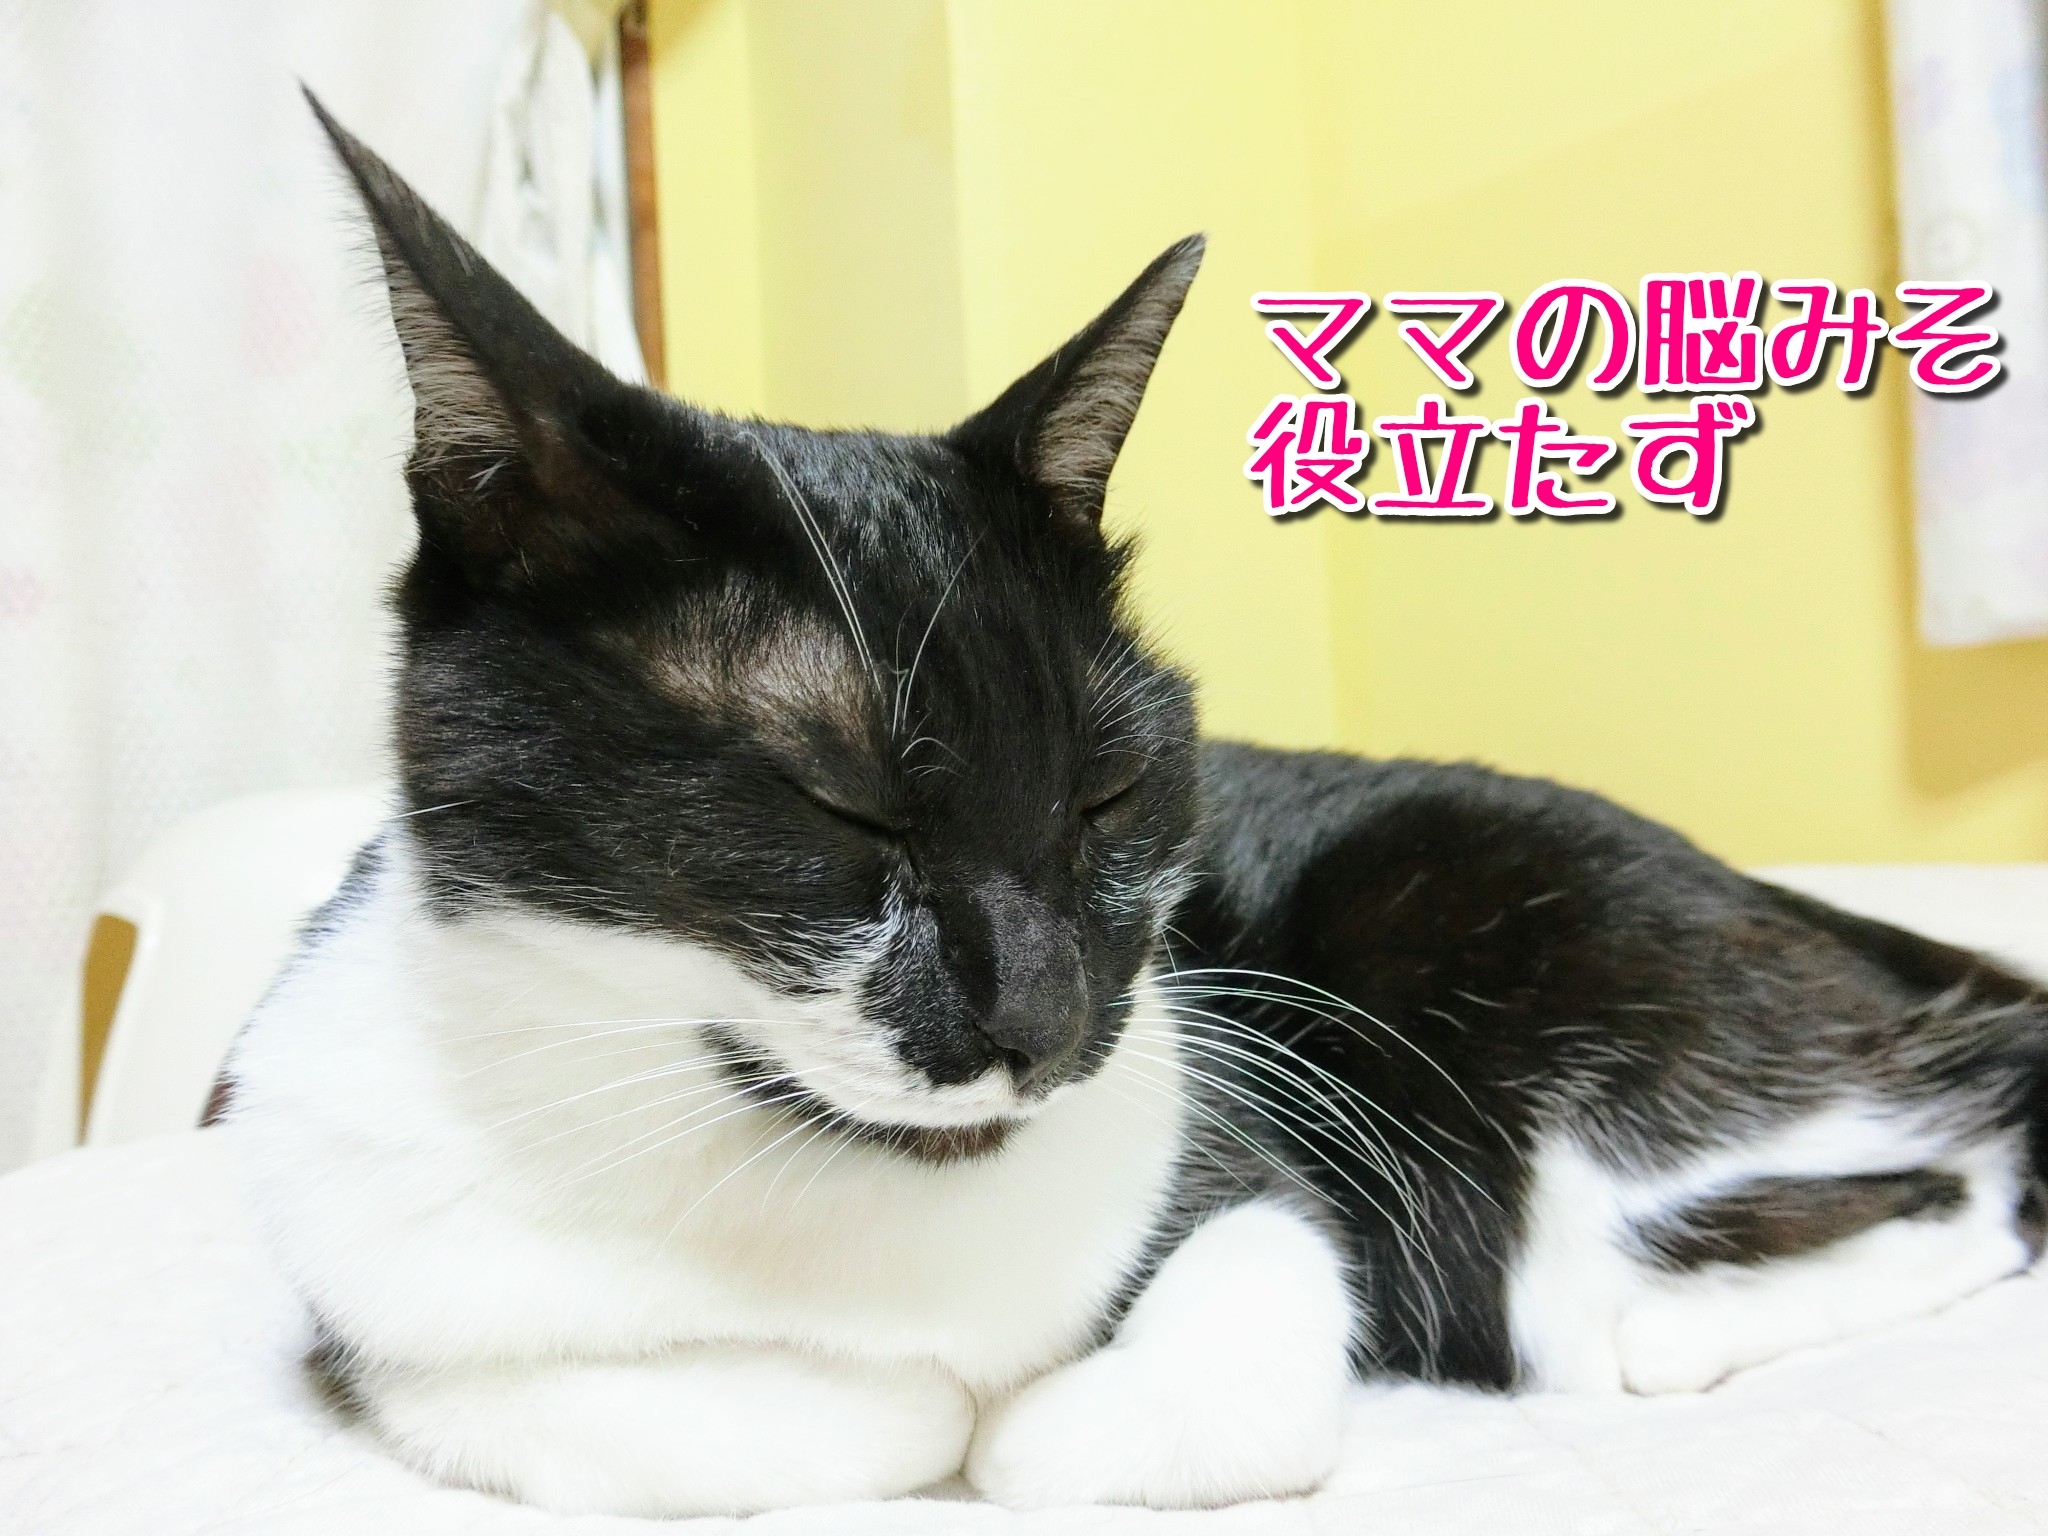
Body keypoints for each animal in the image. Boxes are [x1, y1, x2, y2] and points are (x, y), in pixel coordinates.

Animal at [224, 95, 2048, 1517]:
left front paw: (1015, 1404)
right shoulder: (389, 1314)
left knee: (1916, 1190)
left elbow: (1119, 1412)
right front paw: (908, 1395)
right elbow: (715, 1413)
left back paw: (1668, 1329)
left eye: (1107, 794)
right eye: (841, 807)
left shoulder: (1254, 1169)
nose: (1042, 1016)